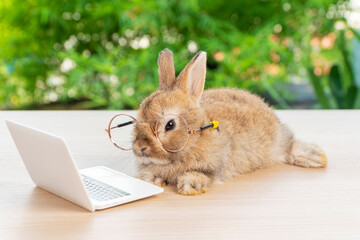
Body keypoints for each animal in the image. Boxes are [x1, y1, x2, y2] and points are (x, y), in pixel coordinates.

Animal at [131, 48, 326, 195]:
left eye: (170, 125)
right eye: (138, 120)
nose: (140, 148)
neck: (193, 140)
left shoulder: (216, 164)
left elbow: (202, 174)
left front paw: (189, 187)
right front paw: (152, 180)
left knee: (290, 145)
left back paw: (315, 157)